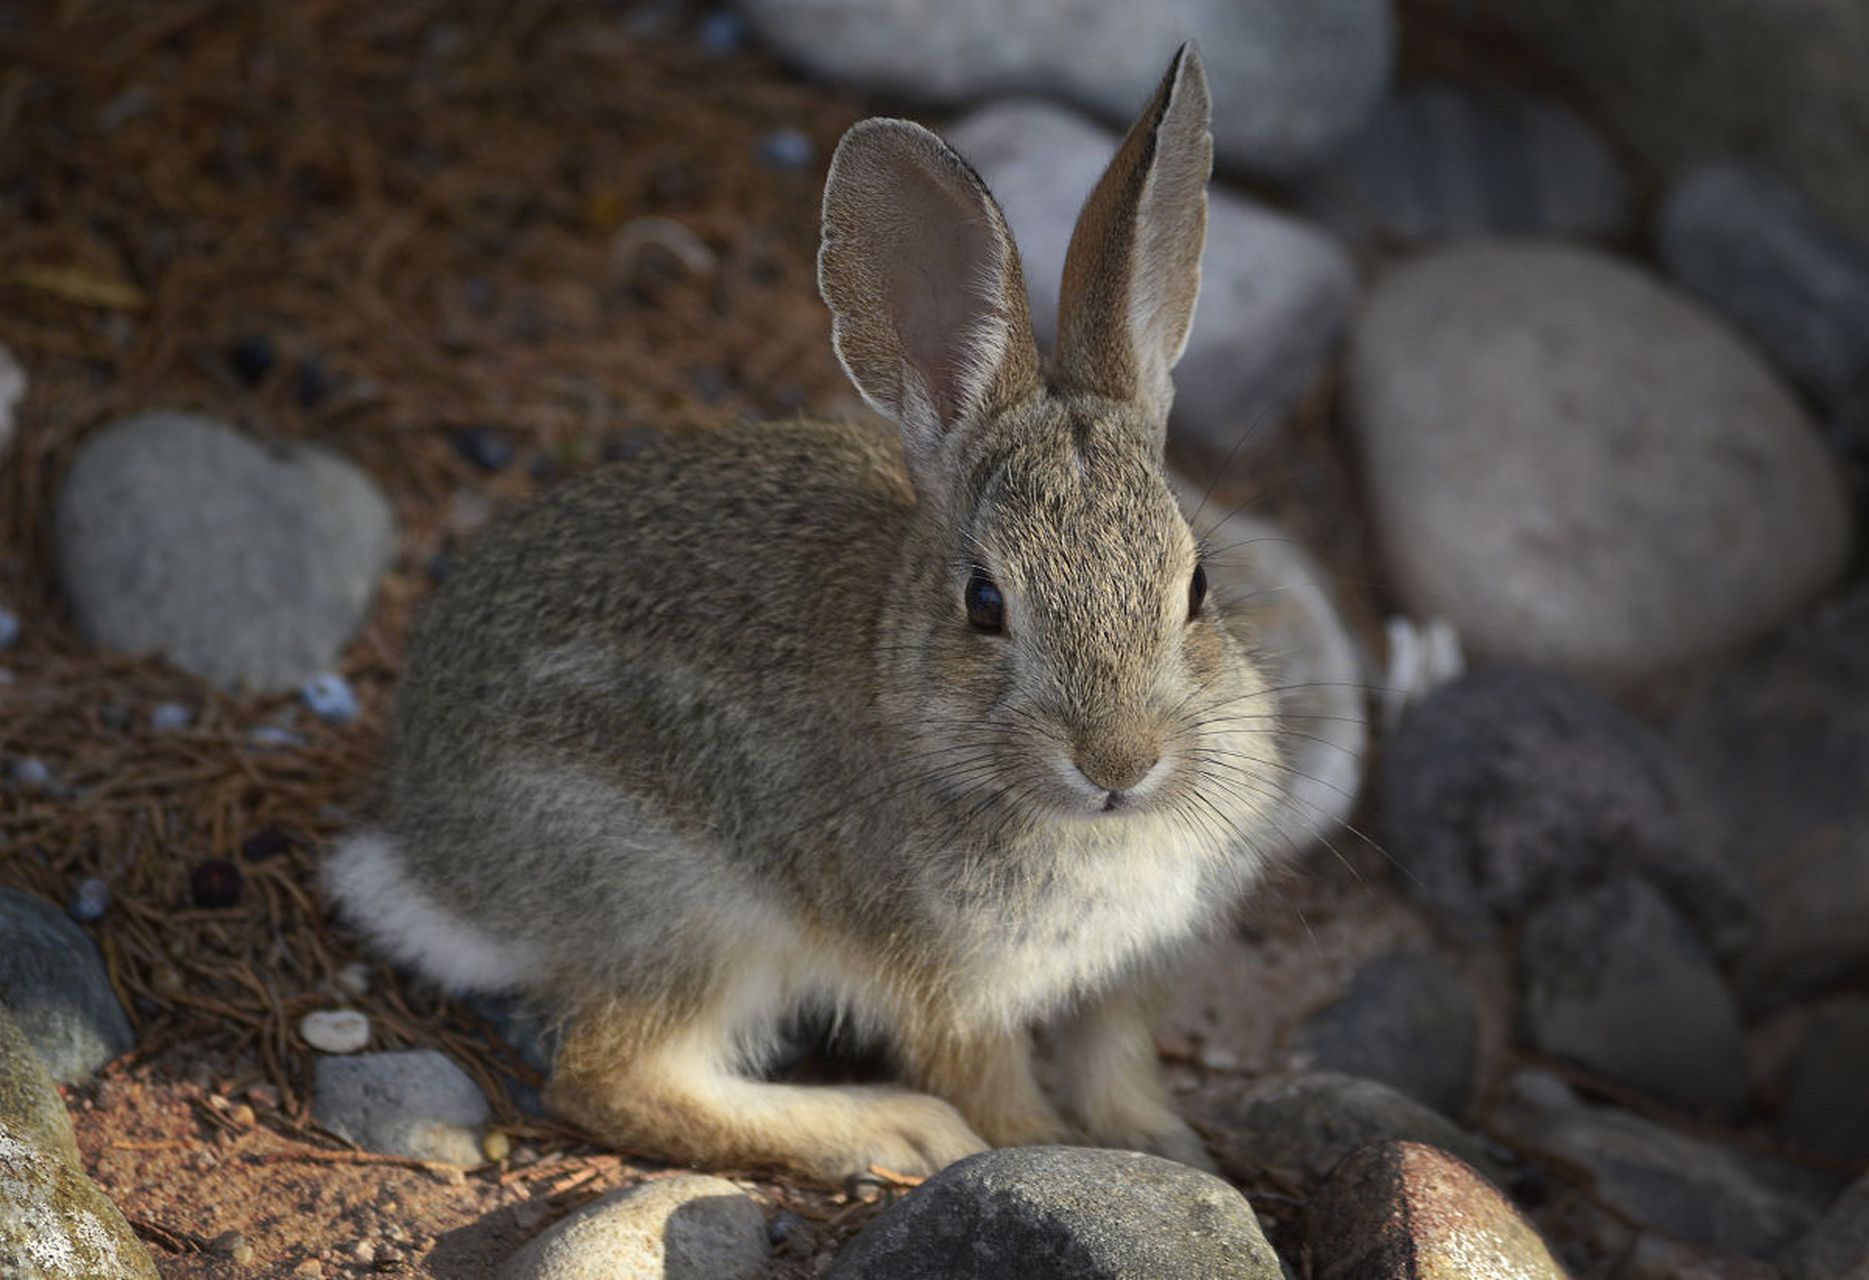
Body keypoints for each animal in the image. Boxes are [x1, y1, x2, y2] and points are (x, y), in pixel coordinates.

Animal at [321, 37, 1285, 1180]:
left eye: (1197, 588)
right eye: (984, 601)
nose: (1121, 763)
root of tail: (430, 857)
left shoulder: (1127, 980)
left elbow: (1116, 1065)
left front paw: (1174, 1153)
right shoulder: (952, 989)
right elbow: (996, 1093)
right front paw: (1048, 1151)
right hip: (689, 907)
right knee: (612, 1078)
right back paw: (888, 1128)